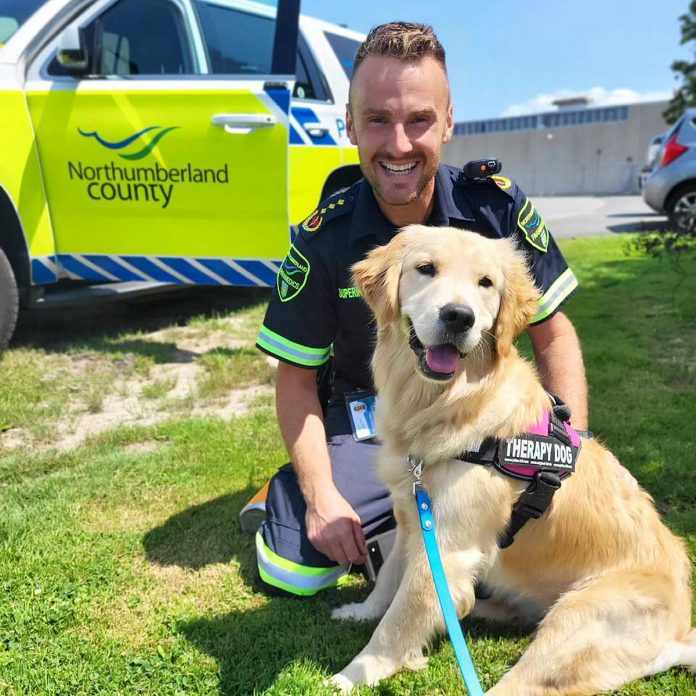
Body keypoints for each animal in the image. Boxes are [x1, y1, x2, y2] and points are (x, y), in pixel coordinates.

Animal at [328, 226, 692, 692]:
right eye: (426, 269)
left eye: (486, 283)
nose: (458, 317)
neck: (450, 403)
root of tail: (679, 634)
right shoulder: (412, 517)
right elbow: (389, 581)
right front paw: (360, 611)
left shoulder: (447, 549)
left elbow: (396, 623)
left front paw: (352, 675)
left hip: (572, 621)